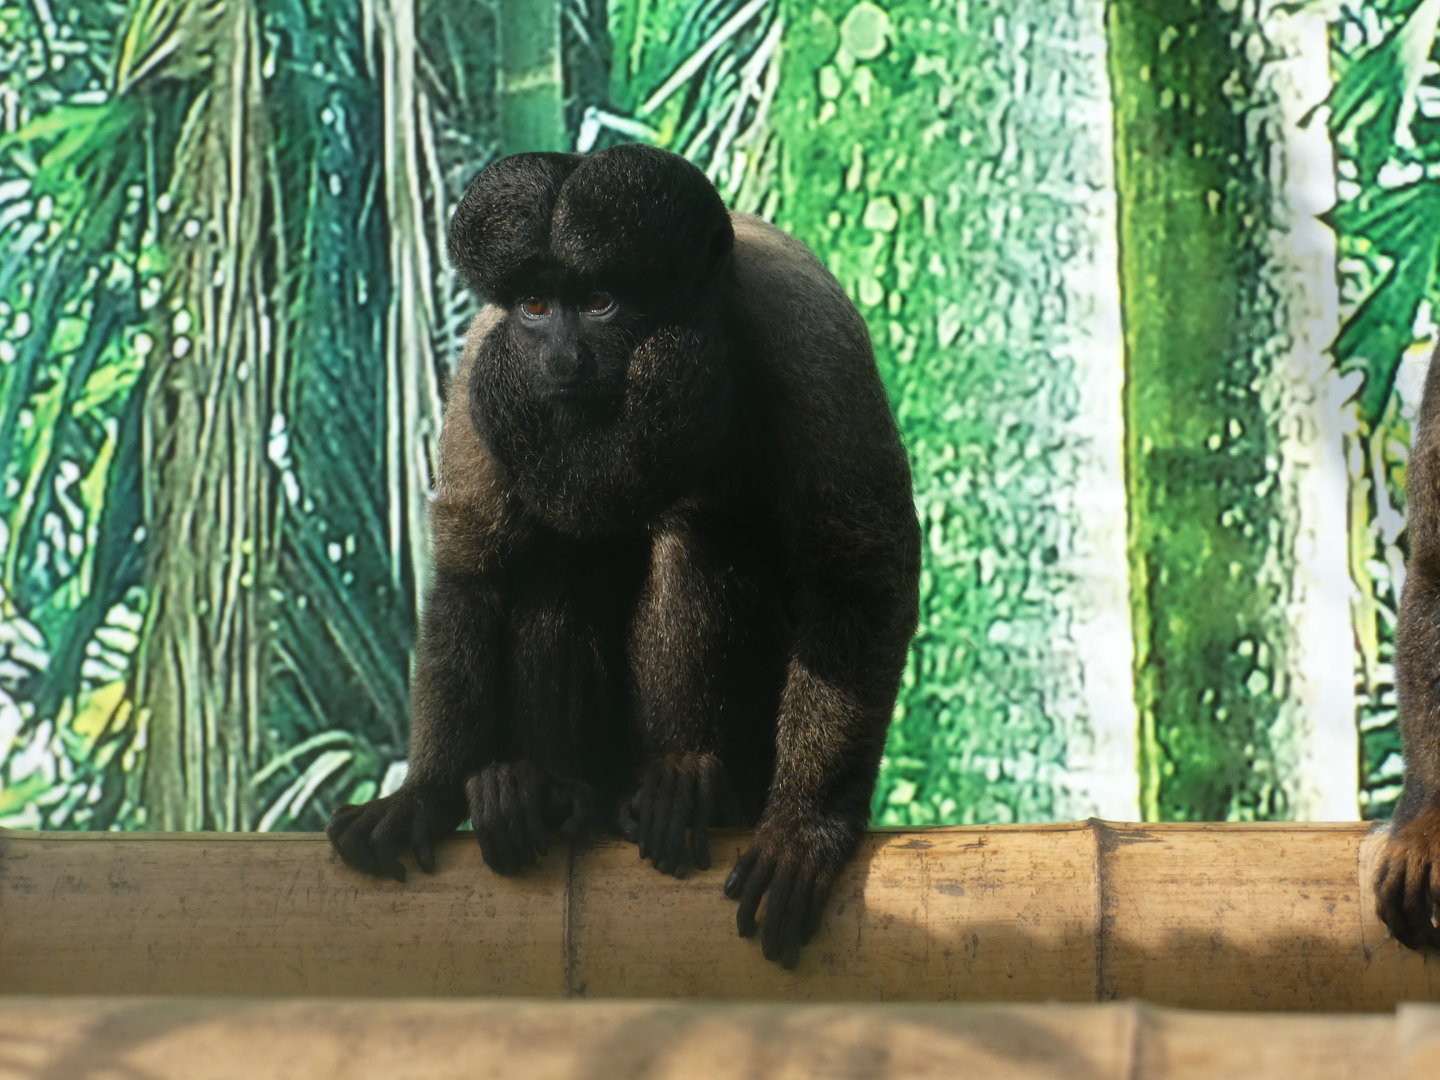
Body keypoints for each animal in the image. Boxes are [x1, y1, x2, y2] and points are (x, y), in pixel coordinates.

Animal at [326, 143, 921, 969]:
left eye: (602, 302)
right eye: (536, 307)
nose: (563, 358)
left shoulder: (808, 332)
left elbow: (856, 573)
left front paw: (808, 826)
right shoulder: (484, 356)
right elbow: (475, 569)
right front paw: (425, 794)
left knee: (692, 533)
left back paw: (687, 783)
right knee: (554, 560)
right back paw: (549, 790)